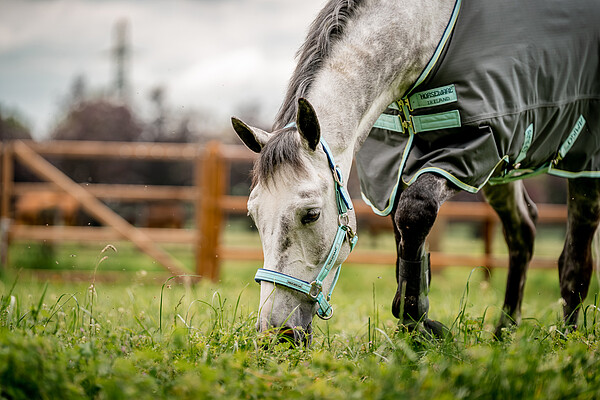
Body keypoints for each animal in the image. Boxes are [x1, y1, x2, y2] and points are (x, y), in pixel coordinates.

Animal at [231, 0, 600, 344]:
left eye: (311, 214)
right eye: (254, 217)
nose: (277, 333)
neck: (427, 30)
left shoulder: (474, 145)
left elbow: (415, 211)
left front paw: (413, 317)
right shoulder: (394, 164)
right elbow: (404, 237)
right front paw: (418, 325)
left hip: (582, 163)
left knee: (574, 259)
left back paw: (568, 337)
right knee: (523, 232)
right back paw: (503, 333)